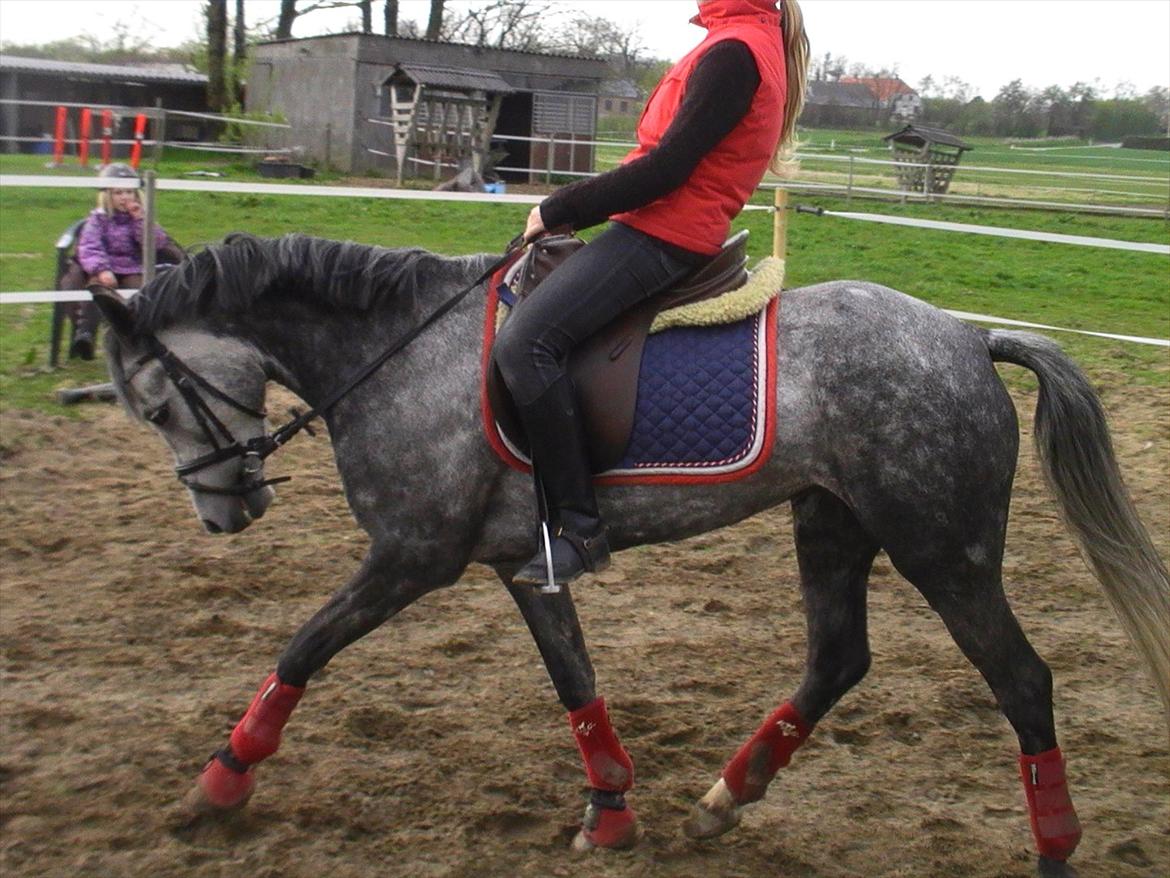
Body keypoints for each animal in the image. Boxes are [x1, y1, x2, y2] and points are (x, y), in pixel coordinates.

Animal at [93, 232, 1169, 877]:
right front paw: (611, 807)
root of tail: (968, 337)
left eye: (153, 402)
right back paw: (725, 799)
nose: (223, 515)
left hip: (944, 546)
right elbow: (574, 677)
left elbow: (302, 649)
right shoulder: (519, 562)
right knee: (838, 659)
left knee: (1022, 680)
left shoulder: (410, 555)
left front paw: (216, 786)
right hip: (832, 521)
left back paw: (1055, 847)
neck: (400, 352)